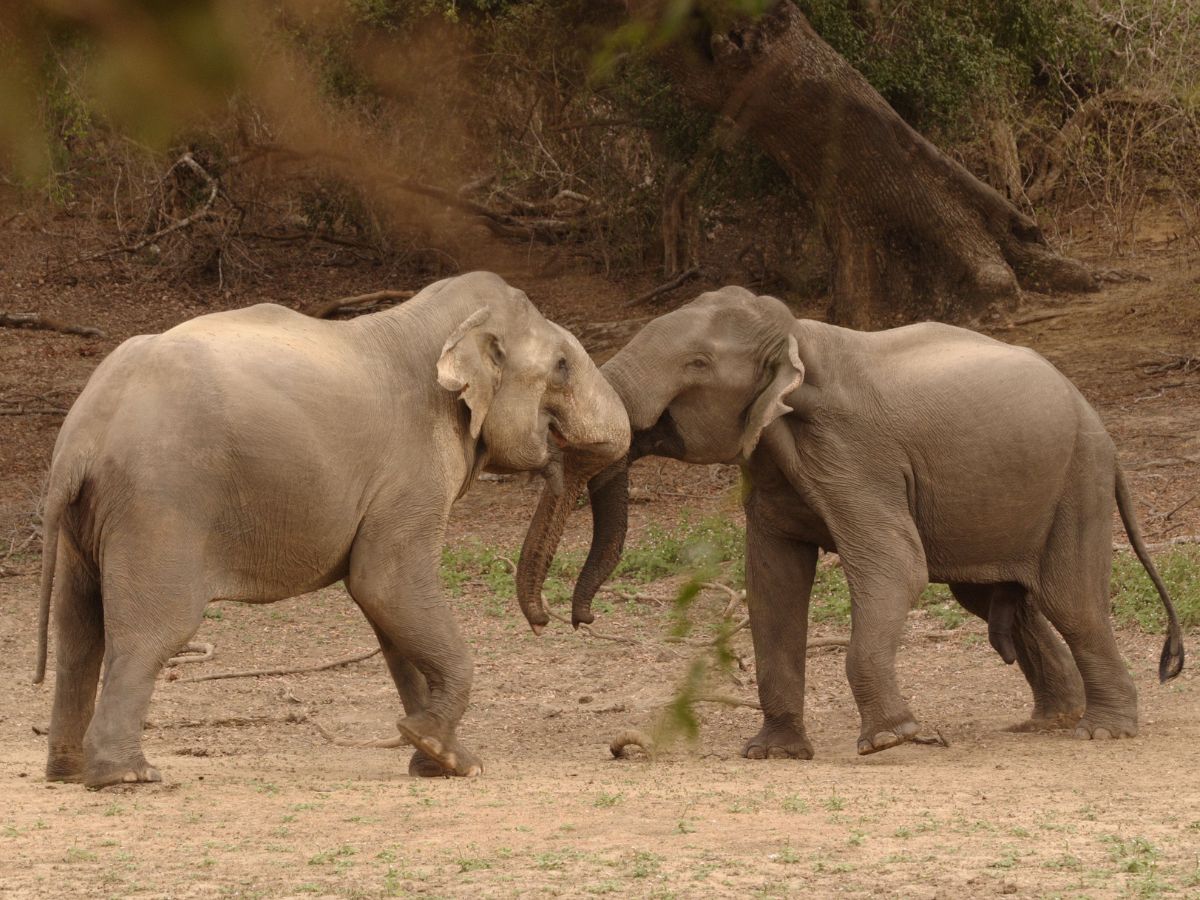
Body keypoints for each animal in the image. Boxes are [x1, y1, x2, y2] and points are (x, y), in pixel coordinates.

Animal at [30, 271, 628, 787]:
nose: (553, 622)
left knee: (77, 628)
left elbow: (387, 613)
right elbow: (386, 585)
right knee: (151, 631)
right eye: (562, 366)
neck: (434, 322)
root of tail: (79, 437)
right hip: (158, 505)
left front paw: (435, 757)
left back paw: (66, 772)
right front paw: (451, 756)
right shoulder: (410, 471)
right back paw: (127, 776)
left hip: (91, 518)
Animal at [520, 286, 1185, 763]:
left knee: (1070, 599)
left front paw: (893, 740)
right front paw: (774, 754)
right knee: (990, 596)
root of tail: (1097, 420)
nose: (575, 619)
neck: (794, 337)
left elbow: (895, 566)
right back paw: (1050, 722)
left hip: (1077, 478)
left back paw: (1103, 733)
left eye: (698, 363)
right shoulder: (774, 460)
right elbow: (773, 582)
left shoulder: (855, 451)